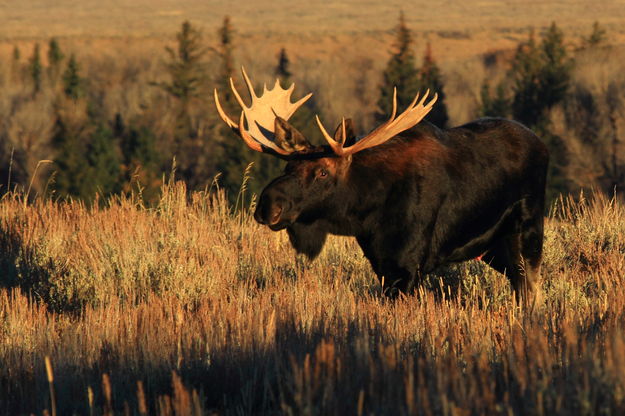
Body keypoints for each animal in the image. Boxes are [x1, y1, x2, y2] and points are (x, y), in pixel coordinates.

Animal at [214, 68, 544, 302]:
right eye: (287, 166)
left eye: (322, 173)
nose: (268, 205)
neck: (368, 214)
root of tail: (540, 142)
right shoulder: (381, 262)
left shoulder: (408, 265)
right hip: (493, 248)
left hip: (527, 231)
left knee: (529, 289)